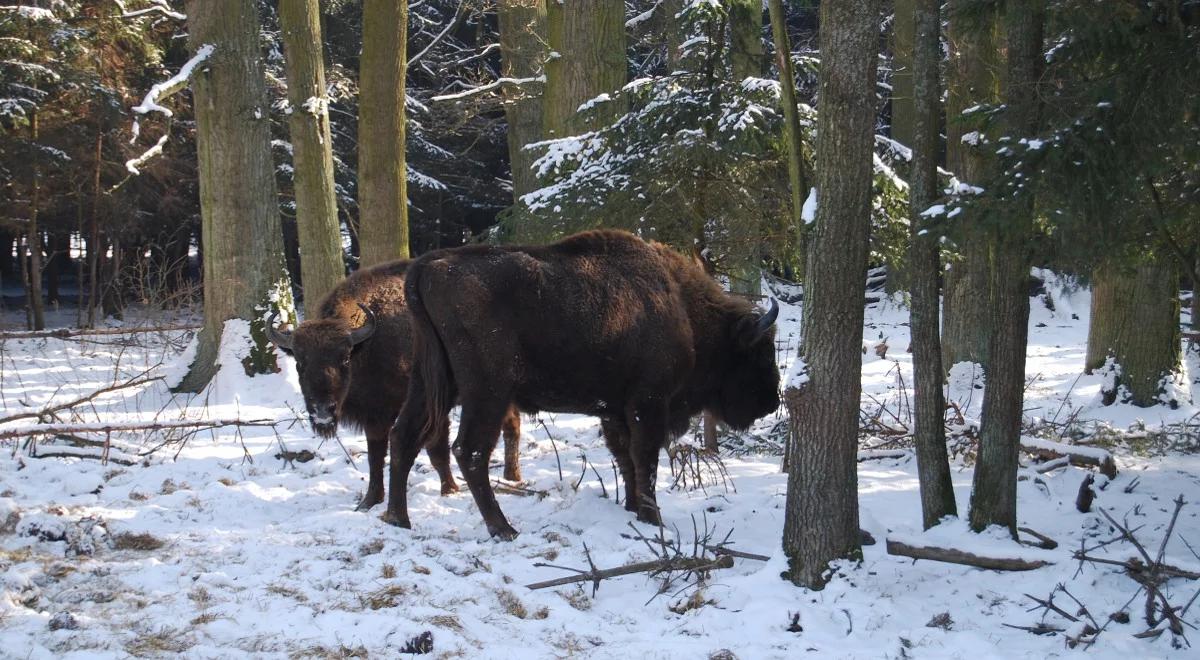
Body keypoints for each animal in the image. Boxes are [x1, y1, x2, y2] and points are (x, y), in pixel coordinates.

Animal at [267, 260, 520, 511]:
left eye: (344, 359)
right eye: (299, 363)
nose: (322, 412)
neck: (367, 344)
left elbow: (436, 450)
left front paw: (449, 489)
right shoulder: (375, 417)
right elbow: (376, 456)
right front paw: (369, 502)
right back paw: (511, 477)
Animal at [379, 230, 782, 540]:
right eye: (760, 354)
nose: (772, 401)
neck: (681, 307)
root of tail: (427, 268)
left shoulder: (616, 410)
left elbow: (625, 457)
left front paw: (632, 509)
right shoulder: (648, 403)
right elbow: (645, 458)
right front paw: (653, 518)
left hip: (431, 380)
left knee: (403, 436)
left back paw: (398, 519)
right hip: (486, 392)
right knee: (470, 451)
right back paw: (503, 529)